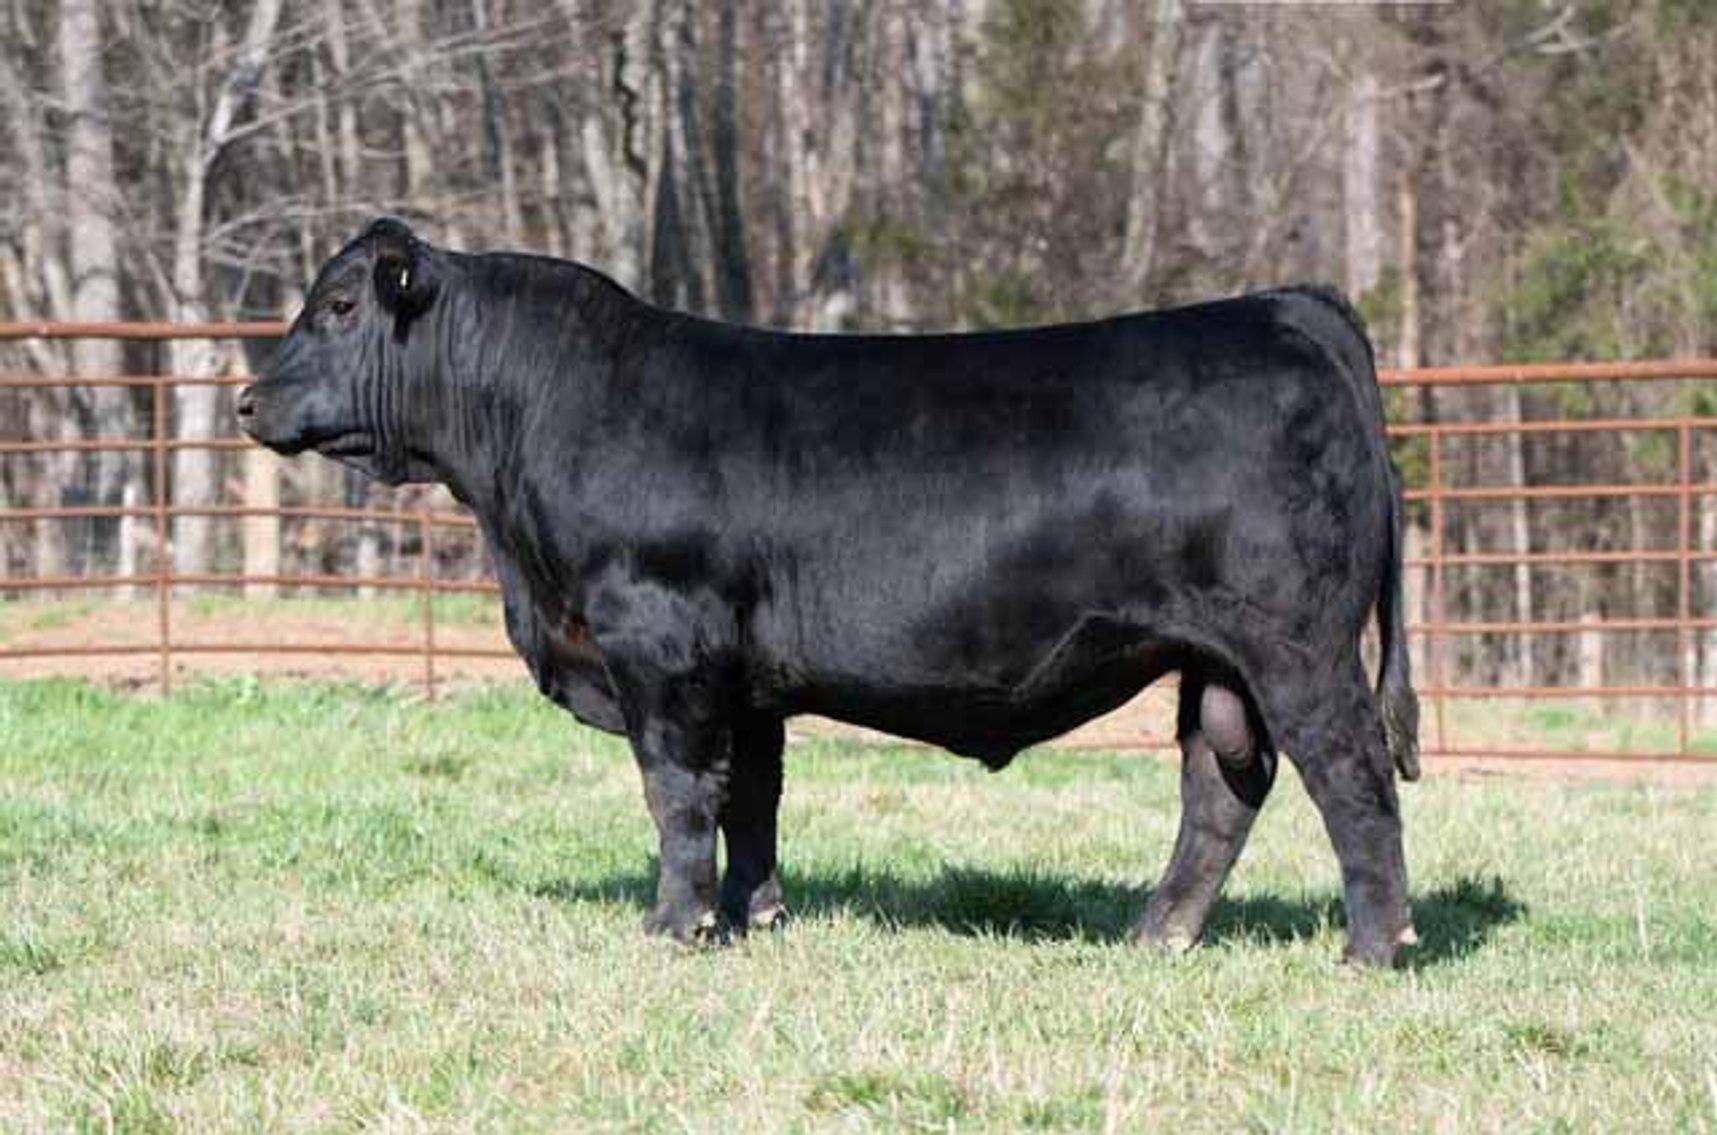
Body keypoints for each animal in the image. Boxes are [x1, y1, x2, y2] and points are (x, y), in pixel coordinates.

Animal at [239, 218, 1421, 966]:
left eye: (337, 303)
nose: (248, 399)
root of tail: (1284, 308)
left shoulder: (659, 641)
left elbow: (678, 792)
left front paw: (673, 929)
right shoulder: (744, 676)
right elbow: (749, 798)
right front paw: (751, 917)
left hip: (1297, 648)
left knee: (1351, 777)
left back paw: (1370, 949)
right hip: (1215, 661)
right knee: (1221, 787)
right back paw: (1155, 936)